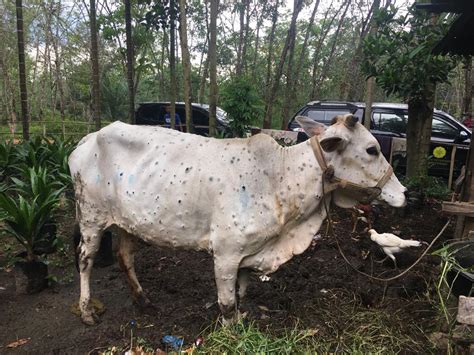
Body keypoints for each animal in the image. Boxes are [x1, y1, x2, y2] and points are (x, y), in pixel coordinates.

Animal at [68, 114, 406, 326]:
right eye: (371, 149)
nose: (404, 192)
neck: (280, 178)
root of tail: (86, 140)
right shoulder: (226, 253)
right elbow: (227, 302)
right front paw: (231, 327)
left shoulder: (249, 252)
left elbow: (242, 292)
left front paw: (244, 318)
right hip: (91, 217)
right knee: (85, 260)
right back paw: (86, 311)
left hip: (128, 222)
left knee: (125, 256)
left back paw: (143, 300)